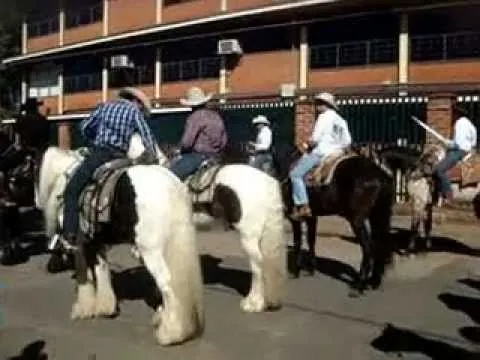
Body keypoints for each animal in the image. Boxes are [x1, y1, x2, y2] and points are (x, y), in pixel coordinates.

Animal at [35, 139, 202, 346]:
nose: (50, 265)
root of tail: (171, 186)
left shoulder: (80, 244)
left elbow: (85, 275)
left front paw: (83, 309)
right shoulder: (97, 242)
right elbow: (101, 269)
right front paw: (105, 307)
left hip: (151, 251)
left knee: (167, 284)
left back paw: (170, 333)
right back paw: (162, 318)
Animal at [276, 146, 396, 296]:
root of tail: (380, 174)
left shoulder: (295, 218)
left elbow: (298, 242)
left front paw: (296, 271)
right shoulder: (312, 217)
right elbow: (311, 240)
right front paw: (311, 269)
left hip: (357, 220)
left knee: (368, 248)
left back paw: (359, 285)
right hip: (377, 216)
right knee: (380, 245)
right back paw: (373, 282)